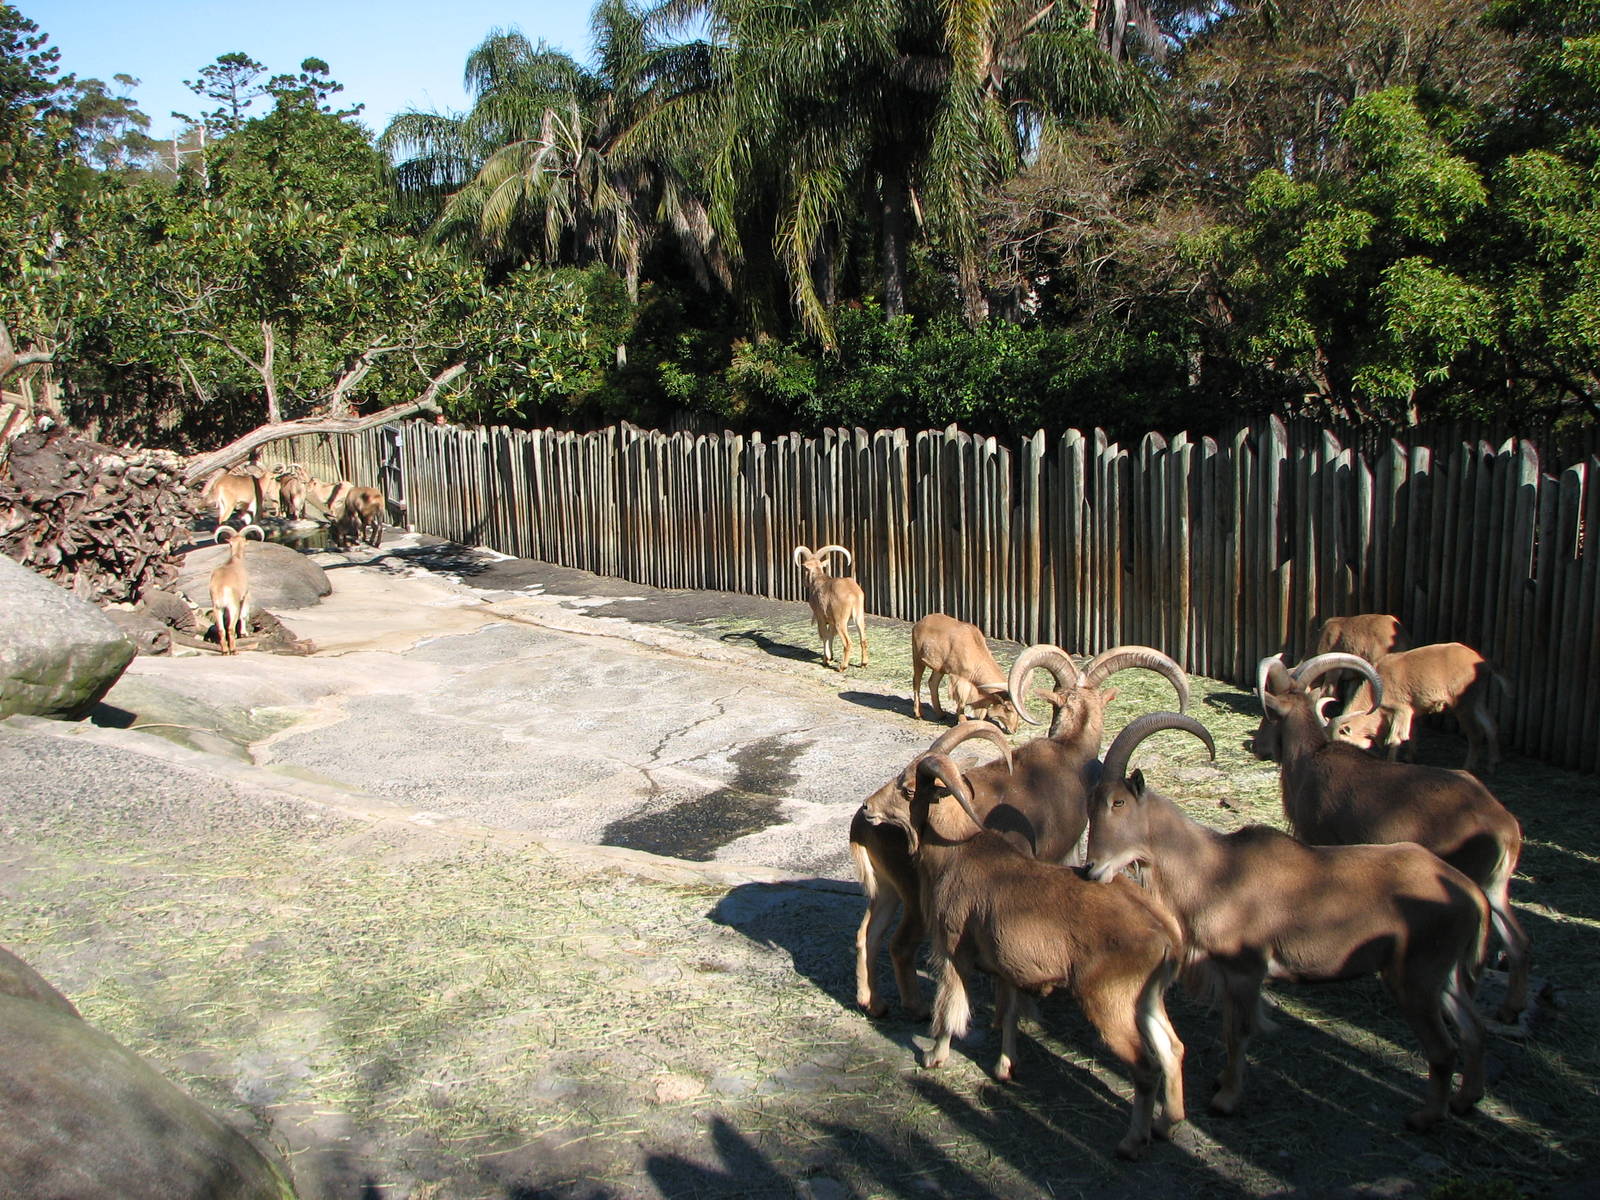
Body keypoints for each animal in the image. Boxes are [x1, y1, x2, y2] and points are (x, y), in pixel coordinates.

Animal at [208, 524, 264, 655]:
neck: (235, 560)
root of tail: (221, 588)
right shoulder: (245, 596)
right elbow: (243, 615)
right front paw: (244, 633)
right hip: (233, 607)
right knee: (230, 628)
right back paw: (233, 650)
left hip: (217, 608)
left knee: (221, 629)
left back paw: (225, 651)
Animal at [851, 642, 1188, 1020]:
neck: (1068, 752)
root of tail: (861, 825)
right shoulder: (1061, 850)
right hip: (914, 897)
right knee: (899, 945)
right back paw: (917, 1006)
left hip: (887, 889)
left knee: (867, 935)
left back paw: (873, 1003)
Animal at [861, 720, 1186, 1159]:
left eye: (908, 789)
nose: (867, 808)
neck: (959, 850)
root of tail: (1164, 931)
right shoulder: (1009, 966)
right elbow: (1011, 1013)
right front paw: (1005, 1068)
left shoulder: (951, 949)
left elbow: (948, 1008)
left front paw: (933, 1056)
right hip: (1146, 998)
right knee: (1172, 1048)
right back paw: (1169, 1123)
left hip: (1110, 1001)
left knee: (1146, 1067)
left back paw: (1132, 1141)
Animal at [1086, 711, 1489, 1131]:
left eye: (1118, 802)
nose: (1092, 868)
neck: (1216, 871)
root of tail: (1468, 891)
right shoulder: (1227, 974)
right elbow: (1229, 1027)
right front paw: (1221, 1084)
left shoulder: (1246, 969)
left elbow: (1239, 1032)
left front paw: (1226, 1099)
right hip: (1444, 975)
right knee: (1474, 1029)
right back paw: (1465, 1099)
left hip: (1415, 979)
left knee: (1444, 1049)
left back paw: (1426, 1116)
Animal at [1328, 642, 1510, 774]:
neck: (1374, 691)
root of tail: (1483, 661)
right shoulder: (1413, 710)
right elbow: (1412, 732)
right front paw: (1411, 757)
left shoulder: (1402, 710)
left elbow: (1395, 738)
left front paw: (1391, 762)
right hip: (1477, 699)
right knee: (1490, 725)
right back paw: (1493, 764)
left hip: (1464, 703)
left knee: (1475, 734)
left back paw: (1467, 767)